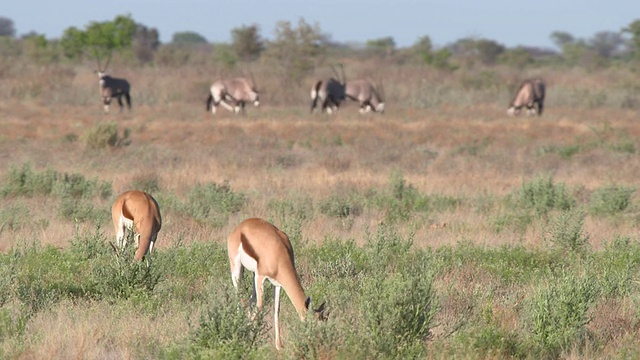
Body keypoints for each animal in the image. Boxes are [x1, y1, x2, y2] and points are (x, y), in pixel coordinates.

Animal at [228, 217, 328, 348]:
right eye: (313, 325)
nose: (320, 344)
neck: (279, 253)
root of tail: (239, 227)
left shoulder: (277, 284)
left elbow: (277, 310)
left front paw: (279, 346)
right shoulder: (261, 276)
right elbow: (260, 306)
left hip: (253, 275)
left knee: (250, 300)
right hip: (237, 271)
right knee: (238, 297)